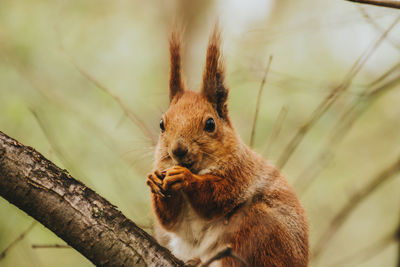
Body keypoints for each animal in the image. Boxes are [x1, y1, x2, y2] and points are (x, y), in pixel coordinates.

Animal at [145, 27, 308, 267]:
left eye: (210, 124)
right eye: (161, 124)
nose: (178, 150)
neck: (199, 168)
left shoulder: (242, 174)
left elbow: (218, 196)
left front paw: (186, 178)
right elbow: (170, 220)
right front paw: (154, 180)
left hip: (259, 229)